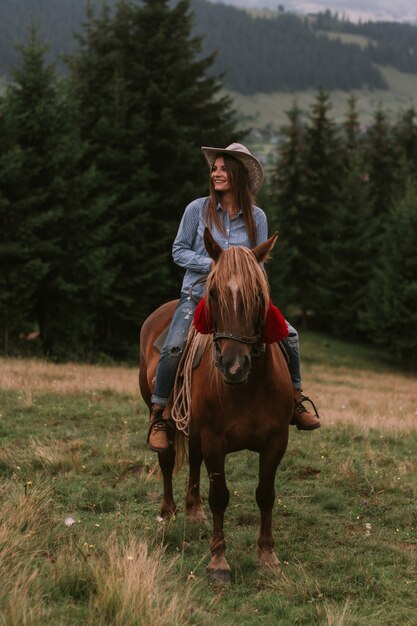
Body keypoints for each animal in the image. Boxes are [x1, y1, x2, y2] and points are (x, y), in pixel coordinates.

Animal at [140, 228, 292, 580]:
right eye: (212, 294)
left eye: (259, 296)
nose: (235, 366)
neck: (247, 389)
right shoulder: (215, 441)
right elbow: (220, 497)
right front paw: (219, 560)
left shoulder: (276, 441)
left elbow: (266, 495)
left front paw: (268, 555)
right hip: (163, 418)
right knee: (167, 459)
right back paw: (168, 513)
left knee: (193, 460)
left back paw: (194, 511)